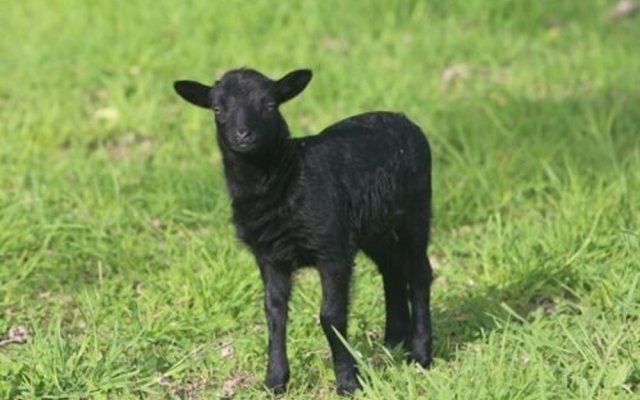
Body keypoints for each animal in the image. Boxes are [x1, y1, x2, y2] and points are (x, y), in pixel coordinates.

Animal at [174, 68, 436, 394]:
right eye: (217, 109)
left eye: (270, 105)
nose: (243, 135)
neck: (289, 177)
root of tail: (402, 118)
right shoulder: (269, 257)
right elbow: (274, 313)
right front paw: (274, 380)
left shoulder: (332, 249)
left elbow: (331, 316)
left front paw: (348, 382)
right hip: (375, 227)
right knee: (392, 269)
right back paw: (393, 342)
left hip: (415, 210)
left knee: (419, 273)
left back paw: (421, 353)